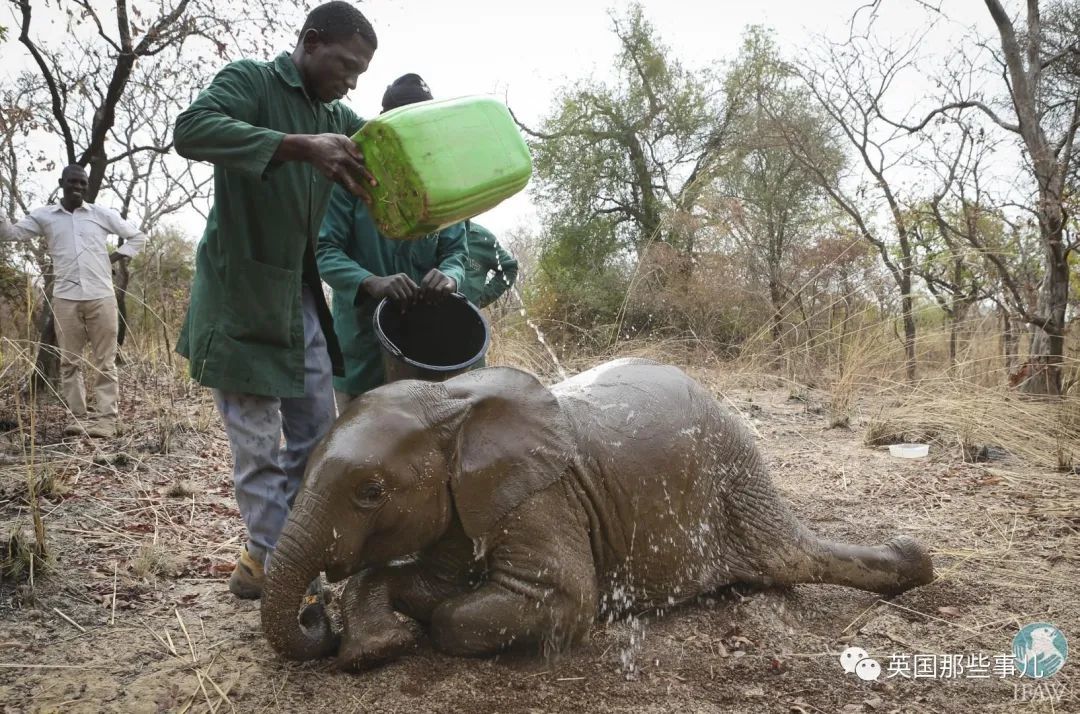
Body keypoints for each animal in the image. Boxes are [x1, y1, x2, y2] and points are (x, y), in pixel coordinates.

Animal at [263, 358, 937, 665]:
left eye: (371, 492)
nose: (313, 615)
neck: (452, 401)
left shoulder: (541, 496)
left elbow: (555, 600)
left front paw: (413, 632)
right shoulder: (468, 501)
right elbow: (424, 579)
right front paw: (380, 647)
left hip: (734, 487)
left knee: (785, 559)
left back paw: (912, 564)